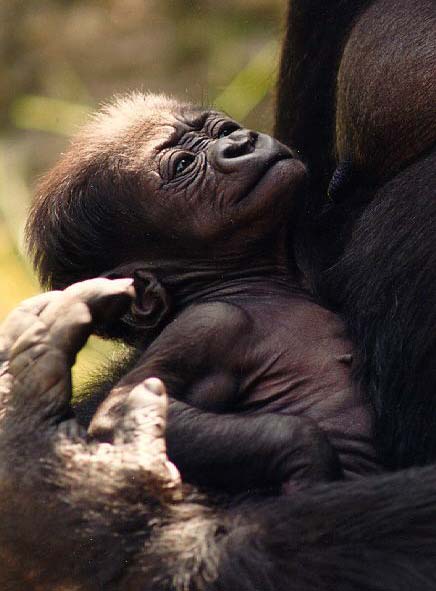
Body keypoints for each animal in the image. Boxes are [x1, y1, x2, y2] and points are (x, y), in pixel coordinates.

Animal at [28, 91, 382, 490]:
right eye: (183, 164)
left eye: (224, 131)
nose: (241, 143)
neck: (253, 282)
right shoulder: (211, 323)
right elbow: (120, 411)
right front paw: (306, 458)